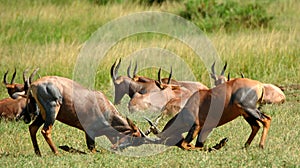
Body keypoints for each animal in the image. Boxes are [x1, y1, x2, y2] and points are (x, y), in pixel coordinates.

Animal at [19, 75, 150, 156]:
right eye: (133, 137)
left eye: (137, 143)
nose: (115, 149)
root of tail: (34, 84)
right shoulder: (89, 132)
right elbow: (92, 150)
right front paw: (65, 148)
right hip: (52, 109)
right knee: (45, 130)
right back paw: (57, 153)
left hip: (42, 114)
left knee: (32, 128)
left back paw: (39, 154)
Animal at [117, 78, 272, 150]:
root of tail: (259, 85)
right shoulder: (206, 128)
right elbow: (199, 145)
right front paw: (221, 143)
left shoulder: (196, 126)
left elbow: (187, 144)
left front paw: (220, 144)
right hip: (245, 113)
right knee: (256, 126)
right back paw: (245, 146)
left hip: (249, 109)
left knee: (266, 119)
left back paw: (261, 146)